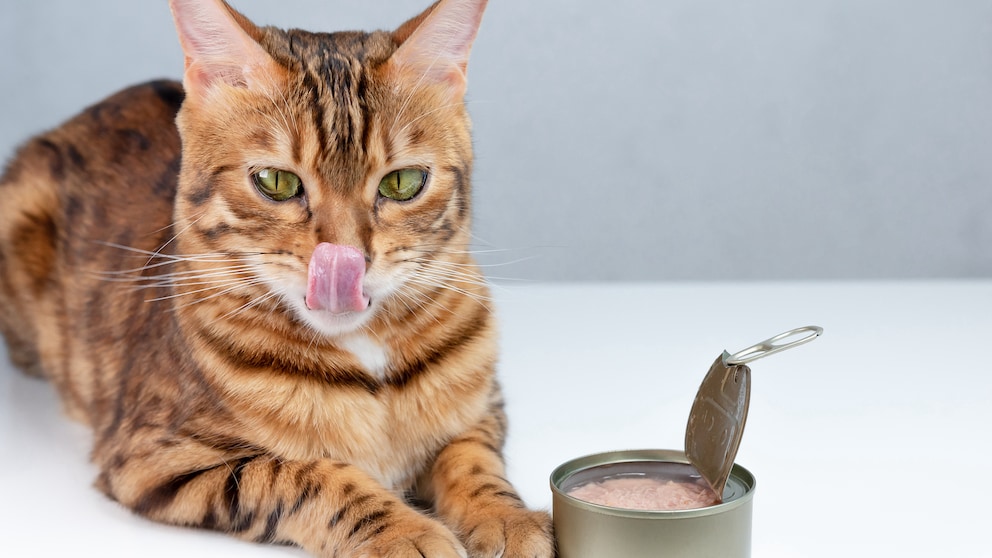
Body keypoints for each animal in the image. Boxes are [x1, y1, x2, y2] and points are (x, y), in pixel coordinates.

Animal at [0, 1, 556, 558]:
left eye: (403, 183)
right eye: (275, 182)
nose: (346, 261)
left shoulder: (485, 408)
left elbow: (474, 459)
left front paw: (507, 516)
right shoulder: (156, 457)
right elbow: (308, 476)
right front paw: (405, 532)